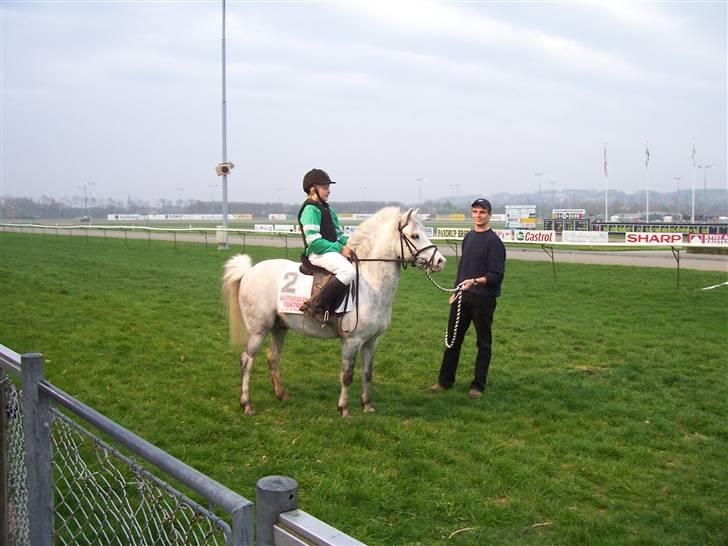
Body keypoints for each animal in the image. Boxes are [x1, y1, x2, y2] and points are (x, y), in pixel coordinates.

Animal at [222, 206, 446, 414]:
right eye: (415, 235)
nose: (440, 261)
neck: (369, 284)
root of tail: (249, 272)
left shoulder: (371, 342)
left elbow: (367, 373)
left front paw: (367, 405)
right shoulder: (351, 341)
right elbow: (347, 375)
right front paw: (344, 408)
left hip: (279, 327)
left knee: (272, 358)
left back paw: (281, 394)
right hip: (258, 330)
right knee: (247, 360)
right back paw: (247, 404)